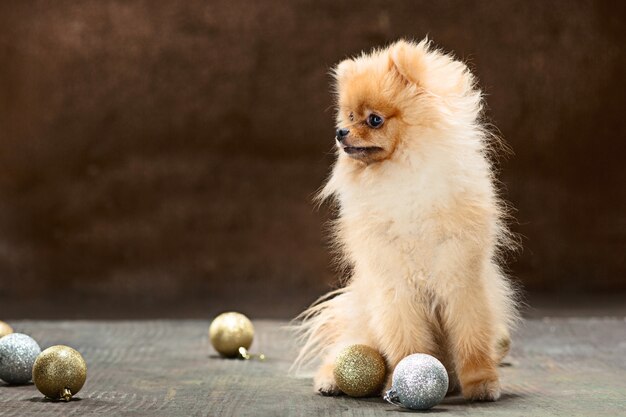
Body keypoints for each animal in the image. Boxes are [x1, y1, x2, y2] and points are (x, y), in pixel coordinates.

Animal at [294, 38, 520, 400]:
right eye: (348, 116)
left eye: (374, 120)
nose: (340, 131)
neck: (402, 175)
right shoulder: (395, 287)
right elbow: (407, 342)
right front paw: (406, 374)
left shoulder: (461, 278)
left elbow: (472, 337)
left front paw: (481, 383)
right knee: (346, 347)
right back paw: (330, 379)